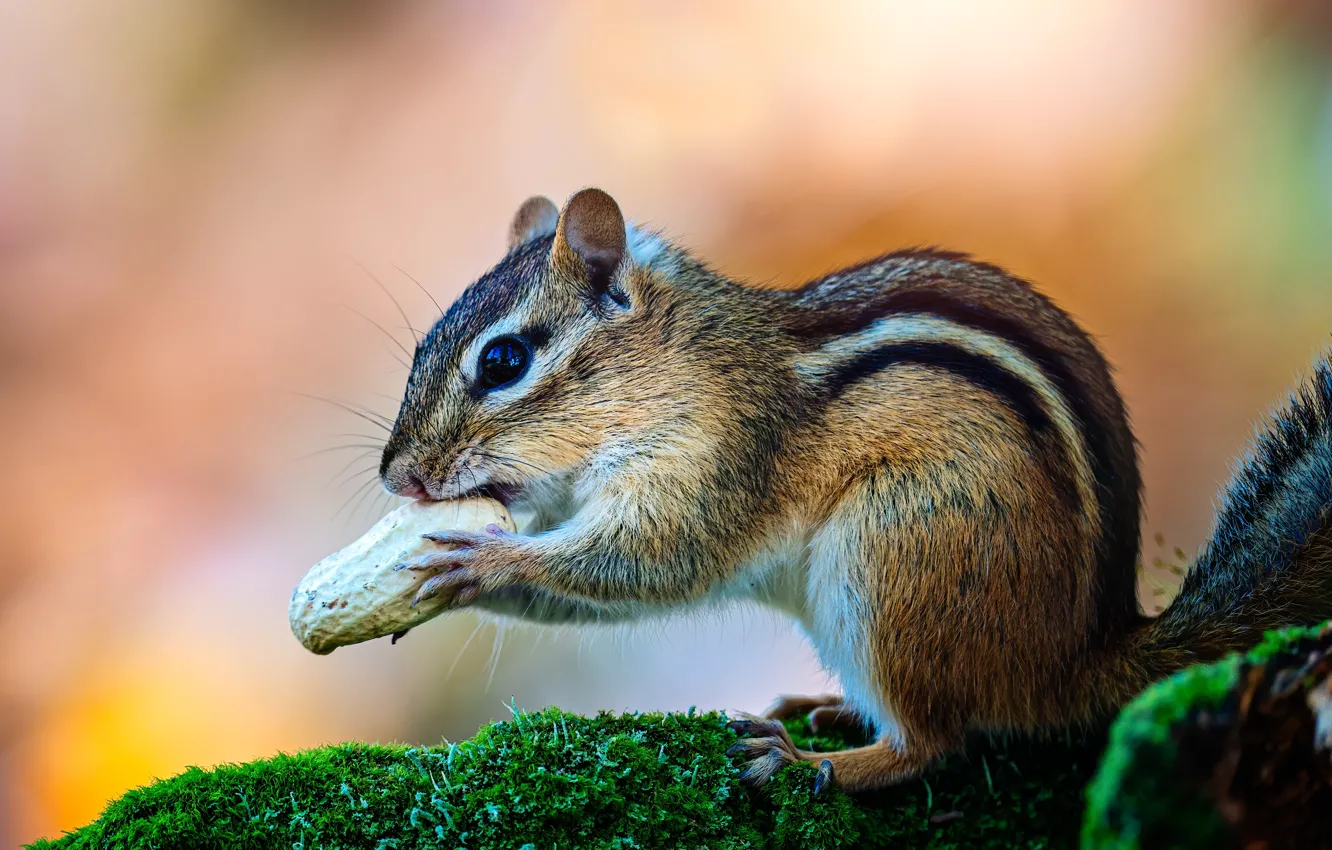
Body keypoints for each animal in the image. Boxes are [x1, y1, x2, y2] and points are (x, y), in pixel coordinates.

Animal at [377, 188, 1332, 793]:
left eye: (505, 360)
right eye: (422, 347)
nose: (398, 475)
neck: (683, 366)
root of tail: (1083, 656)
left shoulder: (719, 465)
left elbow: (652, 563)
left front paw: (484, 562)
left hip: (890, 556)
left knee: (932, 745)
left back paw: (819, 765)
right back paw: (828, 712)